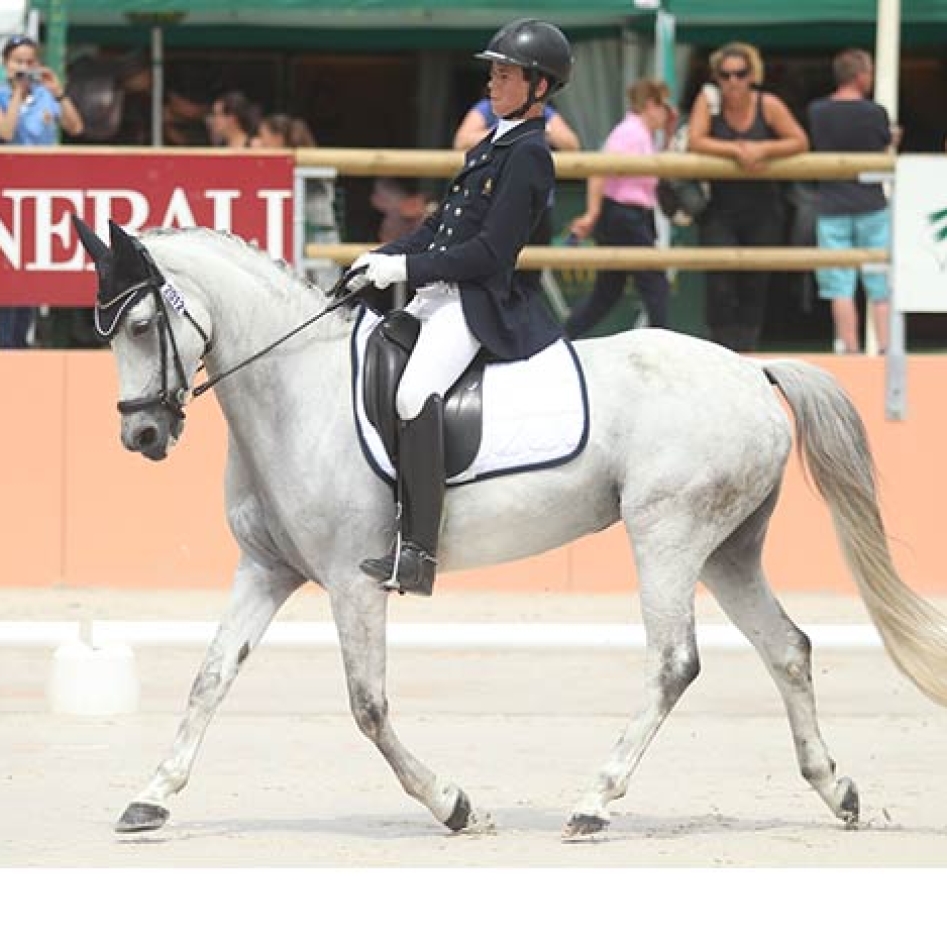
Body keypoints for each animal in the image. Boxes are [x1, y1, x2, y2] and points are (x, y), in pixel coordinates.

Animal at [73, 217, 947, 840]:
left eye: (143, 324)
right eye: (104, 330)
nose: (141, 435)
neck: (295, 387)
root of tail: (750, 368)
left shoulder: (353, 578)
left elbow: (367, 705)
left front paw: (454, 804)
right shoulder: (266, 569)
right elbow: (209, 678)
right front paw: (150, 797)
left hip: (666, 535)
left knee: (674, 662)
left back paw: (594, 800)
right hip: (727, 548)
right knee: (786, 647)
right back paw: (836, 789)